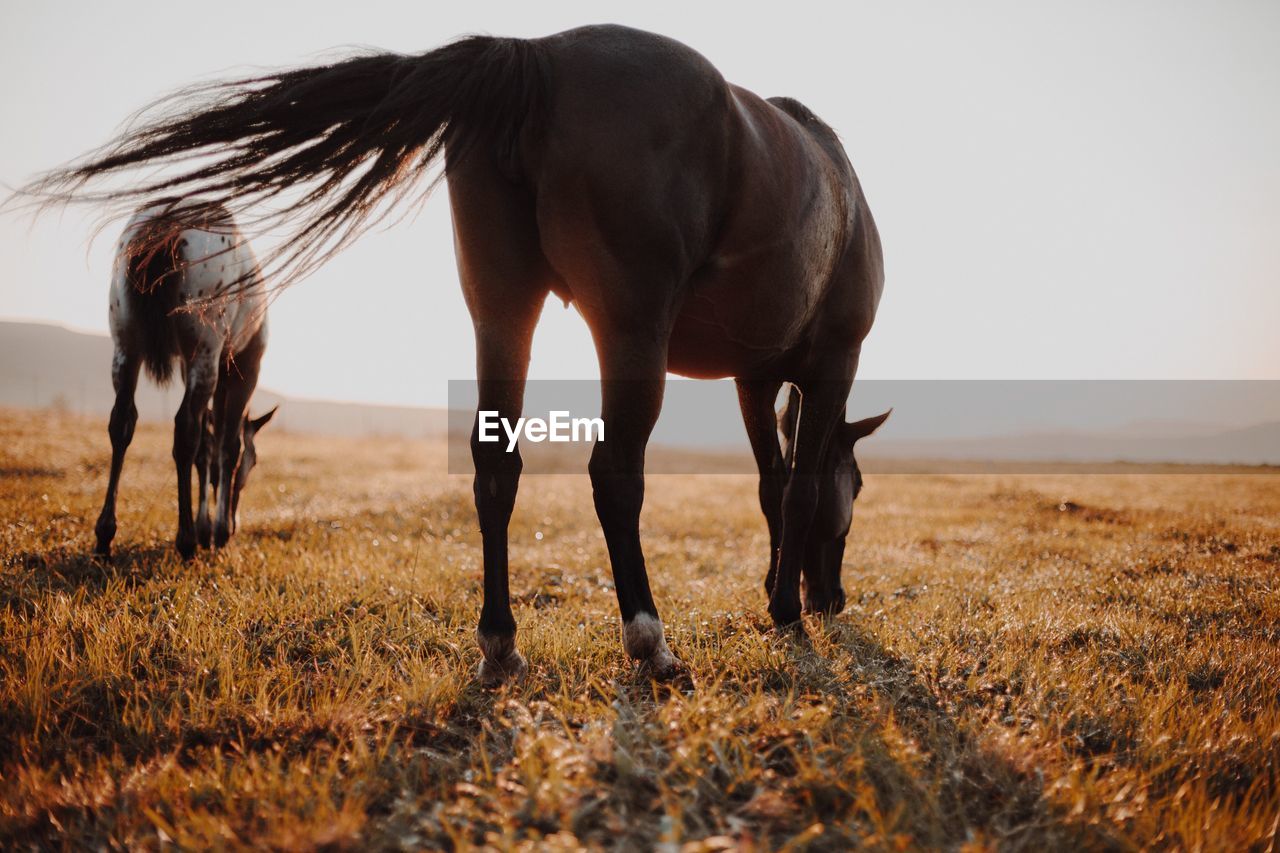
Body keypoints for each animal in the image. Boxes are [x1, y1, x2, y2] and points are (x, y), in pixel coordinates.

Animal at [94, 197, 275, 558]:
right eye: (253, 462)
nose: (235, 522)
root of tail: (168, 222)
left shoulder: (193, 365)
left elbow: (208, 446)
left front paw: (208, 527)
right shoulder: (244, 367)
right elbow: (226, 446)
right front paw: (217, 531)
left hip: (127, 346)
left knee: (122, 423)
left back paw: (105, 534)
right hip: (205, 351)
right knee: (185, 430)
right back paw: (187, 539)